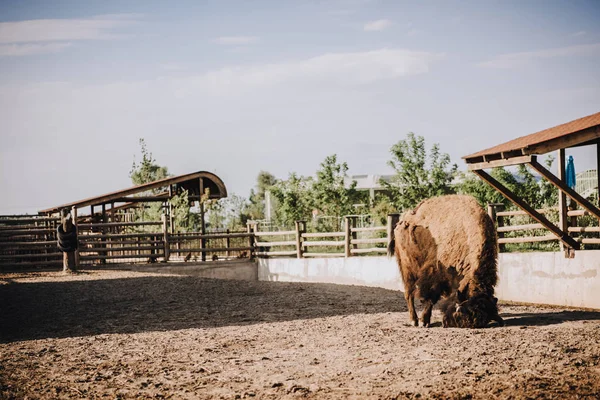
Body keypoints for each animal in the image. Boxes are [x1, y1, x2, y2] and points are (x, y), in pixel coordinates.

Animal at [392, 195, 504, 328]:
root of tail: (404, 220)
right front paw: (424, 322)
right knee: (409, 293)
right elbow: (430, 297)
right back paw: (413, 320)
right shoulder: (435, 274)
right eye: (459, 311)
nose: (446, 322)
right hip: (407, 268)